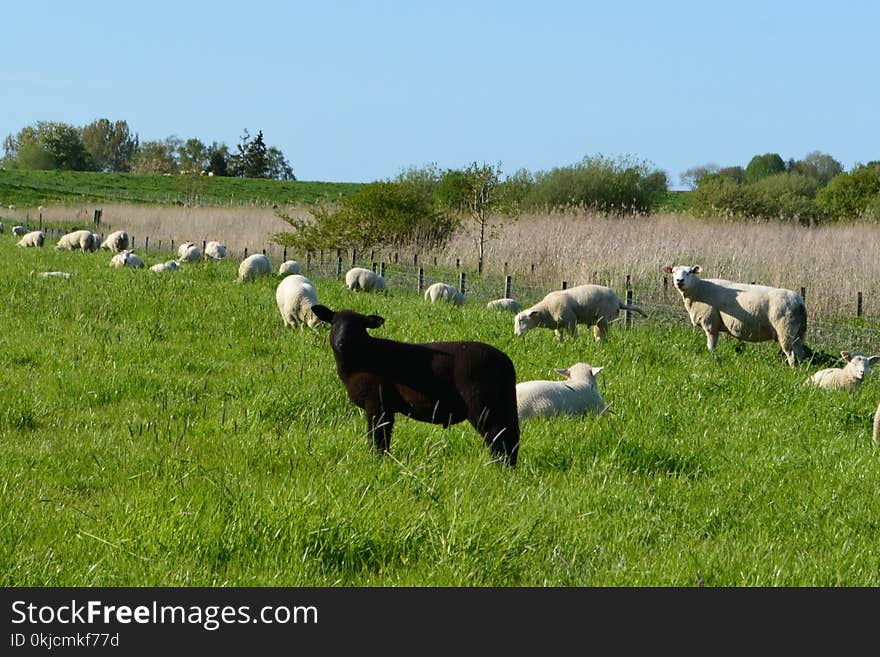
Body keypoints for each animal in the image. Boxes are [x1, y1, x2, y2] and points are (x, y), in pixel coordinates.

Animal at [310, 304, 520, 466]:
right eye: (334, 323)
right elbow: (382, 438)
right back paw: (509, 470)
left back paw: (497, 468)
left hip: (481, 404)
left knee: (496, 436)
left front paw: (376, 461)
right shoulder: (385, 407)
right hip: (503, 402)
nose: (342, 342)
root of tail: (506, 362)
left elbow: (377, 437)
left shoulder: (377, 403)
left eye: (359, 326)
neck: (361, 359)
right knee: (511, 437)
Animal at [516, 284, 648, 340]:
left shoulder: (570, 322)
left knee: (602, 336)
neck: (546, 309)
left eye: (522, 320)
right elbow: (559, 337)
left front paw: (574, 346)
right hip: (599, 321)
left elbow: (574, 336)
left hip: (604, 319)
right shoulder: (558, 326)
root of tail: (618, 300)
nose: (516, 335)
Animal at [664, 264, 808, 366]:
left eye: (689, 272)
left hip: (785, 329)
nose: (679, 281)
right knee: (800, 352)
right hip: (799, 331)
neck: (698, 289)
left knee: (791, 354)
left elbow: (711, 346)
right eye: (673, 272)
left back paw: (791, 371)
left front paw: (712, 359)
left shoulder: (710, 323)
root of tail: (800, 302)